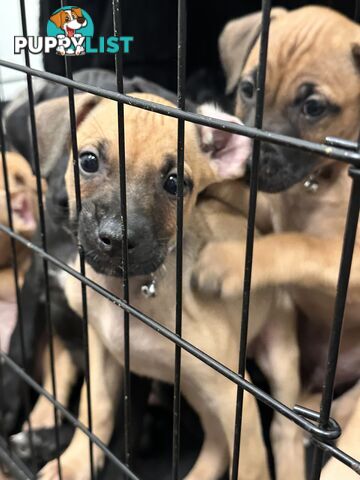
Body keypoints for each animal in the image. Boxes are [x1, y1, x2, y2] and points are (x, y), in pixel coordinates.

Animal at [22, 93, 300, 480]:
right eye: (88, 161)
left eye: (175, 183)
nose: (117, 238)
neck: (125, 295)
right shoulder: (104, 355)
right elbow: (97, 411)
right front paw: (75, 463)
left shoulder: (234, 397)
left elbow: (250, 465)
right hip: (193, 390)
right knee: (216, 441)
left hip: (276, 363)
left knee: (283, 432)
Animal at [194, 5, 360, 478]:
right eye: (249, 88)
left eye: (313, 107)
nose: (249, 160)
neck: (317, 183)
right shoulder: (263, 205)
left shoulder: (347, 258)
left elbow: (296, 244)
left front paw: (227, 262)